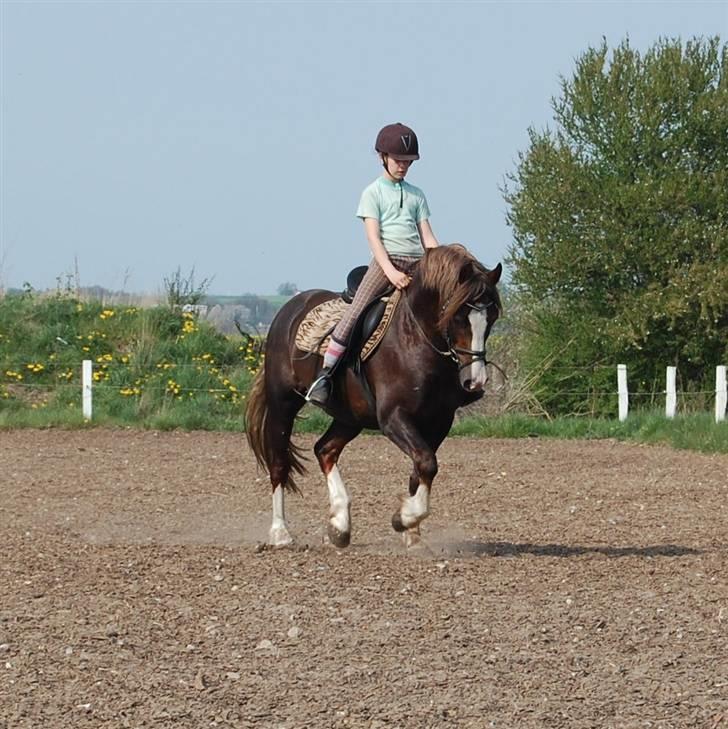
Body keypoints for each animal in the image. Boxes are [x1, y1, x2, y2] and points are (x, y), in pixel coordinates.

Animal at [245, 243, 500, 544]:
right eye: (459, 317)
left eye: (492, 318)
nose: (476, 380)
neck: (416, 338)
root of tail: (290, 307)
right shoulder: (393, 418)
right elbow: (427, 463)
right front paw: (404, 518)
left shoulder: (439, 421)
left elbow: (421, 467)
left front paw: (412, 532)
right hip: (283, 404)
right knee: (279, 463)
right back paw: (280, 532)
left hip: (350, 416)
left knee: (325, 450)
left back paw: (340, 525)